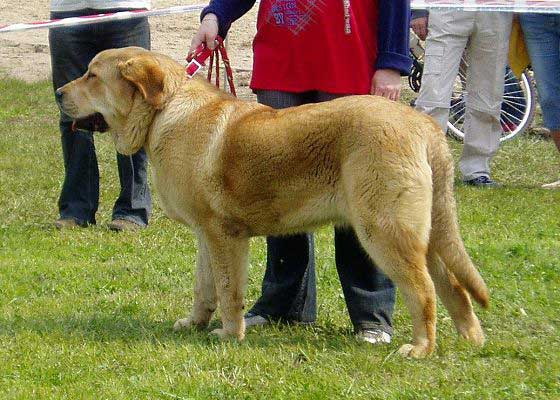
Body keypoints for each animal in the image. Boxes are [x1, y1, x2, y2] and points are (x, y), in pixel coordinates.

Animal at [54, 47, 488, 360]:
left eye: (92, 75)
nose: (58, 92)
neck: (163, 113)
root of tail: (424, 126)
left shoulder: (224, 235)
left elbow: (228, 290)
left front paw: (230, 334)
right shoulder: (205, 235)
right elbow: (203, 287)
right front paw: (194, 324)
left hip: (385, 232)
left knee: (423, 290)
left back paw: (420, 348)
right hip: (423, 235)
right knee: (453, 287)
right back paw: (472, 338)